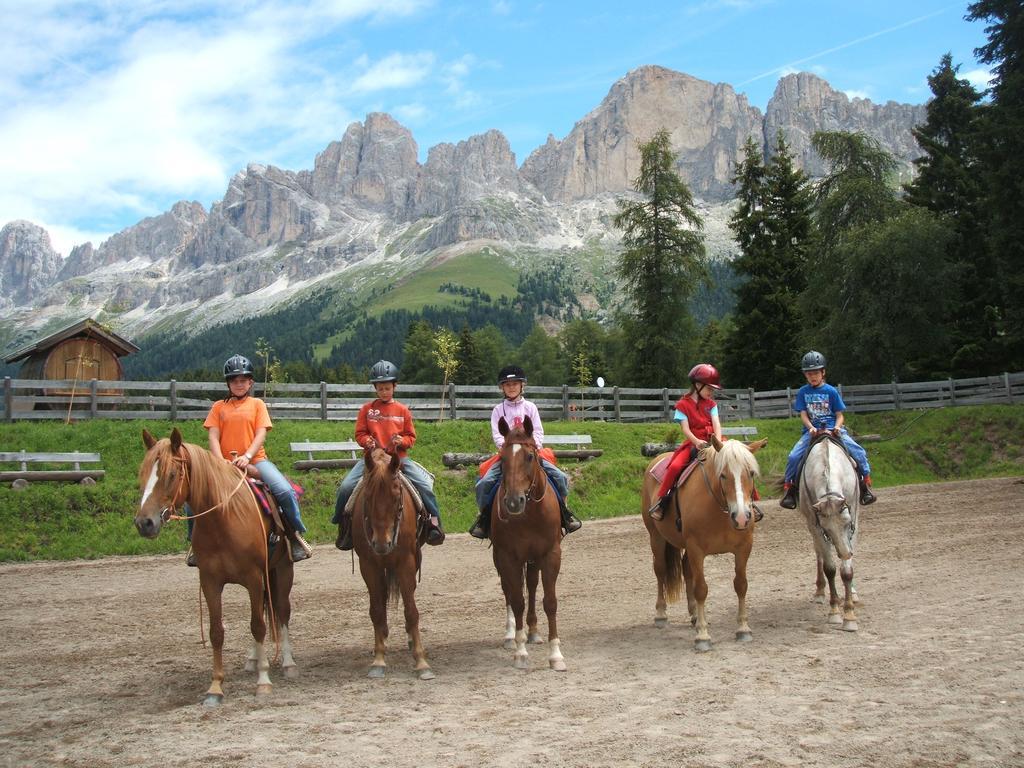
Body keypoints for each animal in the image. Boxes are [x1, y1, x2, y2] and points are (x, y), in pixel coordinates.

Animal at [130, 430, 294, 708]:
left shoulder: (253, 578)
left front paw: (263, 681)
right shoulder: (209, 581)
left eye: (171, 474)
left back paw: (288, 662)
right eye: (142, 472)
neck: (224, 518)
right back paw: (252, 659)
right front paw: (215, 687)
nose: (145, 523)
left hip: (282, 571)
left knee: (281, 611)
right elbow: (216, 631)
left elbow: (258, 626)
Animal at [352, 444, 432, 679]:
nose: (382, 544)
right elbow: (377, 610)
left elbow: (411, 611)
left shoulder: (406, 562)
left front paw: (421, 661)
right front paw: (379, 659)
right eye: (367, 497)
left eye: (397, 497)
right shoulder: (368, 564)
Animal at [489, 415, 569, 671]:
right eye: (502, 458)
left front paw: (556, 655)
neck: (530, 515)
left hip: (533, 558)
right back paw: (511, 635)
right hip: (500, 558)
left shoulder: (551, 554)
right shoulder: (508, 557)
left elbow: (550, 601)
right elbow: (517, 601)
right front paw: (520, 652)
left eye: (530, 456)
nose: (514, 502)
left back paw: (533, 631)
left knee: (532, 585)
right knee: (508, 590)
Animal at [638, 436, 770, 651]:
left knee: (685, 569)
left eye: (750, 473)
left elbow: (741, 585)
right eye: (723, 475)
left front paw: (743, 629)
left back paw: (693, 615)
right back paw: (661, 615)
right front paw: (703, 636)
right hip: (656, 538)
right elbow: (701, 589)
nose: (742, 517)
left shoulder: (744, 548)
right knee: (660, 571)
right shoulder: (696, 549)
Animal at [794, 436, 860, 634]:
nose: (845, 553)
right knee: (819, 554)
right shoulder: (816, 526)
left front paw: (849, 615)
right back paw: (820, 591)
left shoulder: (854, 517)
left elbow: (847, 572)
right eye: (827, 529)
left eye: (847, 523)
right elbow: (830, 568)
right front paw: (835, 612)